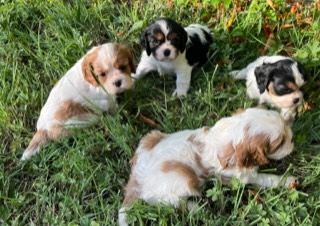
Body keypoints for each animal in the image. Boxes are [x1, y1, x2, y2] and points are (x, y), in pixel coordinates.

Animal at [119, 108, 298, 226]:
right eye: (280, 143)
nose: (292, 140)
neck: (233, 134)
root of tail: (136, 179)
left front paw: (288, 114)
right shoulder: (240, 175)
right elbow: (264, 178)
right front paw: (288, 181)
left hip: (150, 136)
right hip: (183, 179)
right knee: (172, 202)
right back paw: (198, 209)